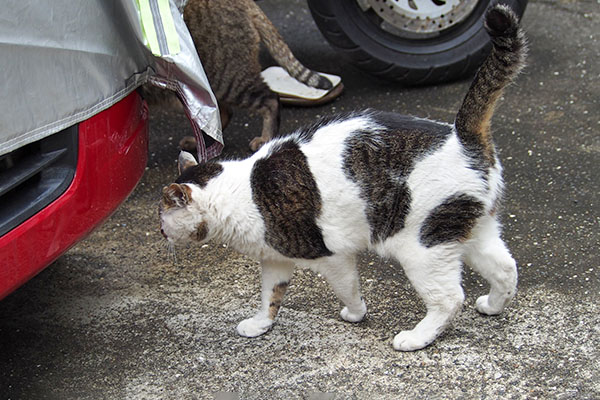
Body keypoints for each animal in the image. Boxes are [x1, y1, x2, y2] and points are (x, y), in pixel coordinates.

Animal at [158, 5, 524, 350]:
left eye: (162, 221)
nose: (161, 234)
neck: (239, 192)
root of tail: (463, 136)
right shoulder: (275, 260)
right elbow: (270, 298)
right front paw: (261, 324)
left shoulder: (332, 256)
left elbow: (348, 288)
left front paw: (355, 314)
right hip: (472, 232)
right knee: (507, 269)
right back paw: (493, 306)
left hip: (423, 245)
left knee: (450, 299)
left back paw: (417, 338)